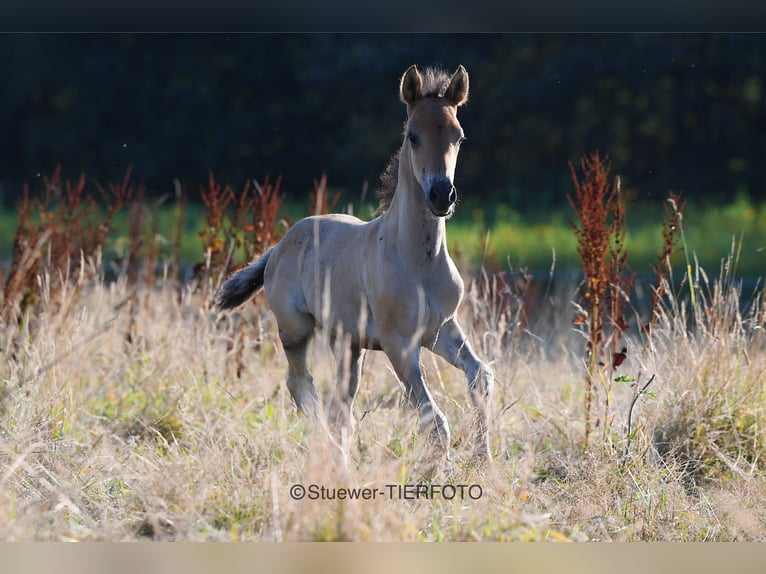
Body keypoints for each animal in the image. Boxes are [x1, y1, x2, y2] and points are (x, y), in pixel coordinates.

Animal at [216, 64, 496, 460]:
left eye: (458, 136)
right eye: (413, 136)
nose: (442, 195)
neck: (418, 262)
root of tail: (279, 246)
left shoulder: (441, 330)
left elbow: (480, 376)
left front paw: (484, 458)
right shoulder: (399, 343)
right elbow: (434, 419)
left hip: (348, 345)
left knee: (340, 405)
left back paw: (340, 454)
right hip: (295, 329)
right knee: (299, 384)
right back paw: (327, 446)